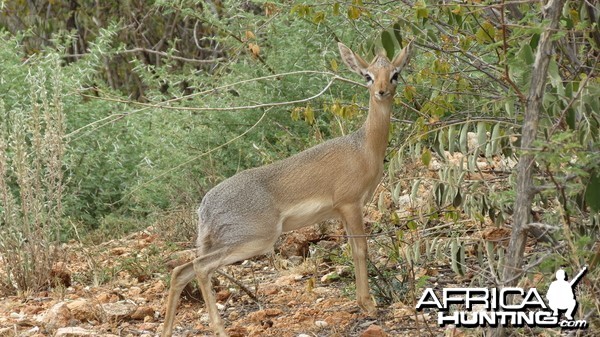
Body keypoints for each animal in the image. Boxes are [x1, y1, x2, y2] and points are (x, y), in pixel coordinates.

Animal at [162, 40, 412, 334]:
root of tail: (205, 206)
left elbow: (353, 250)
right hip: (255, 240)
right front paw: (369, 305)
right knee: (200, 268)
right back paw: (220, 330)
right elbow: (361, 250)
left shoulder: (343, 212)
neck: (364, 148)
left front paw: (364, 302)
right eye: (367, 76)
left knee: (180, 271)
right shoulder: (351, 204)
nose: (382, 91)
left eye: (395, 74)